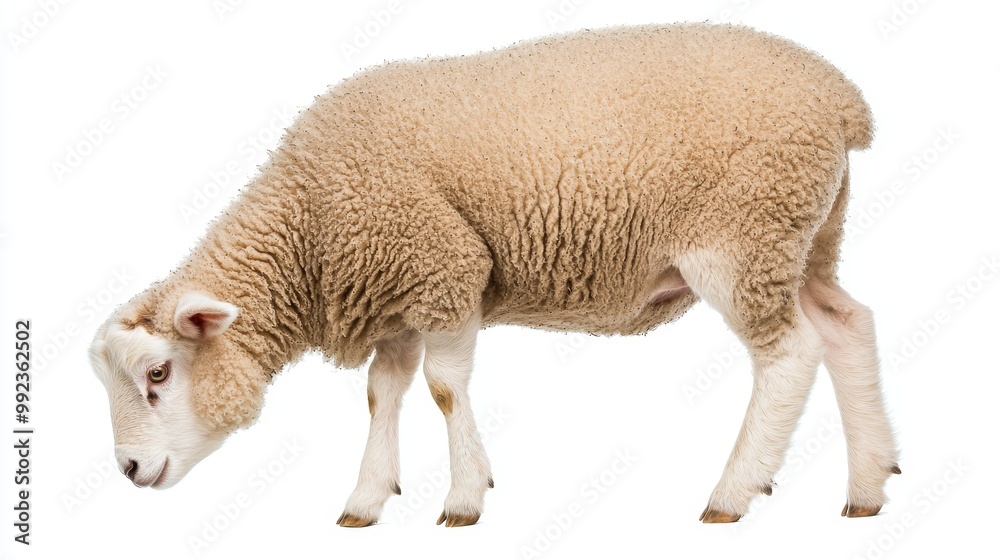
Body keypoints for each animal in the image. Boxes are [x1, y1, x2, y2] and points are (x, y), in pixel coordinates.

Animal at [88, 22, 900, 527]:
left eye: (158, 374)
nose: (127, 469)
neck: (309, 229)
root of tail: (843, 101)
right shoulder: (398, 295)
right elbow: (384, 394)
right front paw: (366, 499)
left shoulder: (445, 267)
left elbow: (445, 389)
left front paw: (464, 499)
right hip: (804, 237)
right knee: (848, 324)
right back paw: (867, 485)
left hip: (743, 235)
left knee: (790, 353)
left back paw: (733, 491)